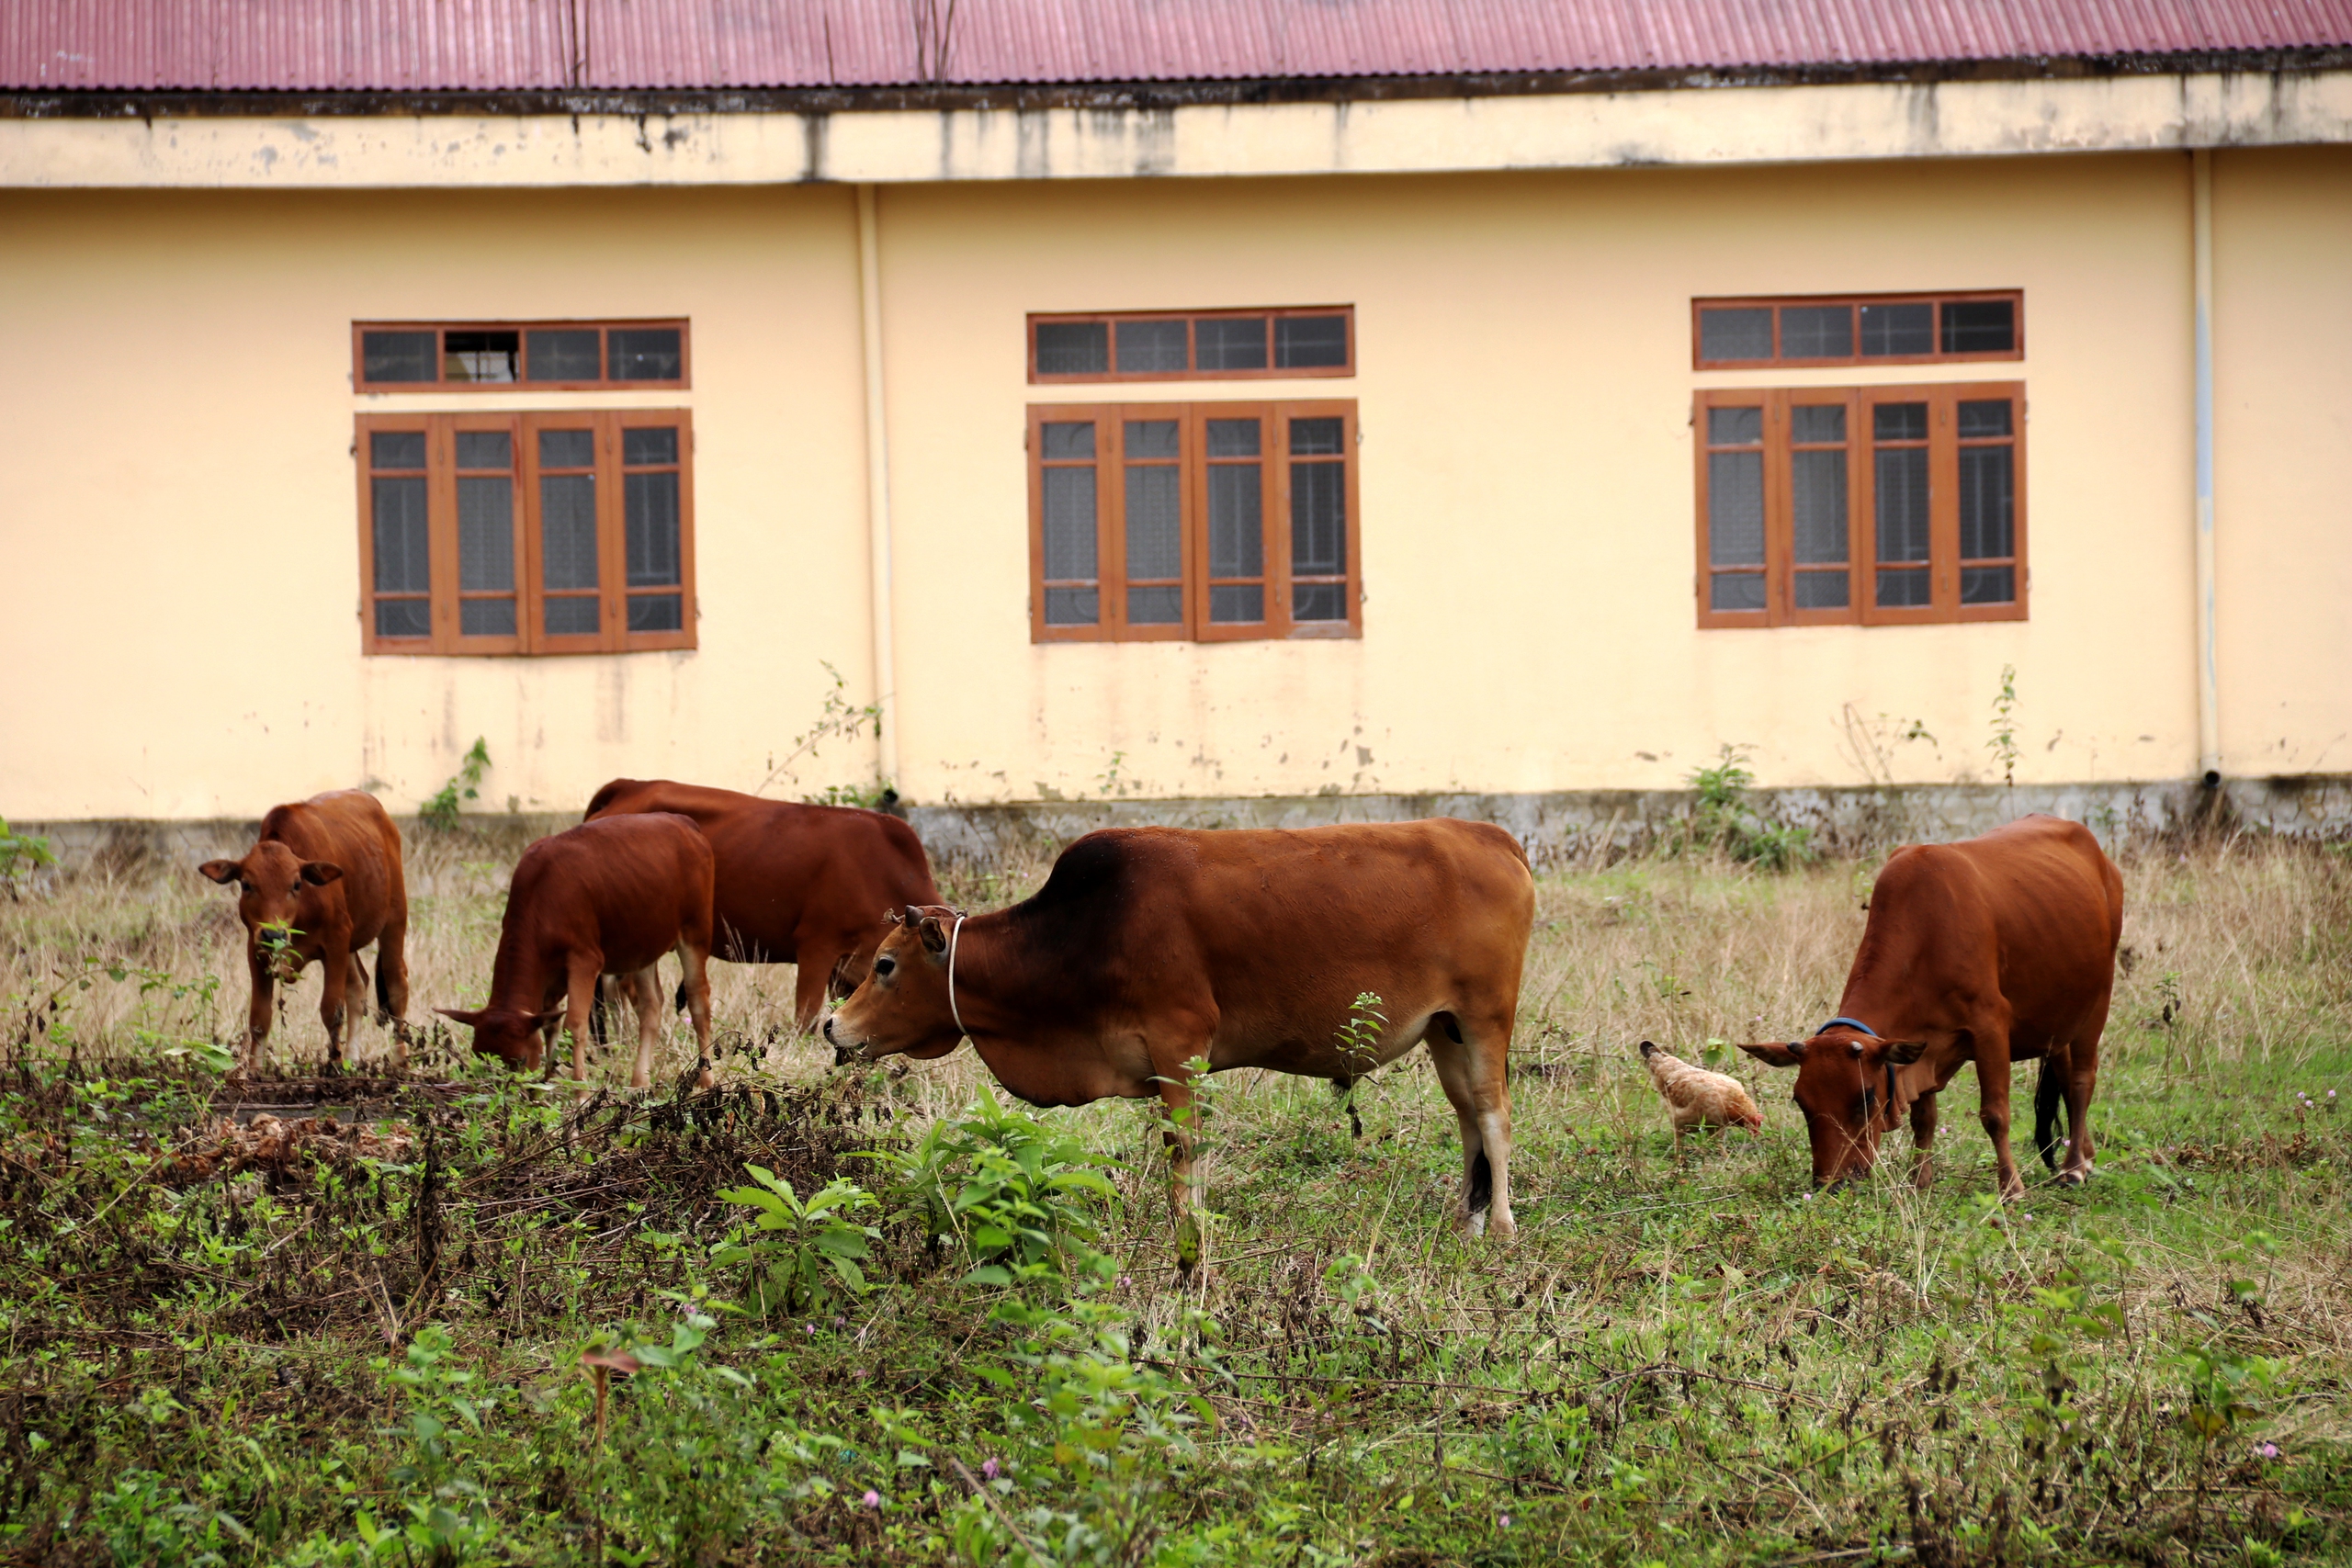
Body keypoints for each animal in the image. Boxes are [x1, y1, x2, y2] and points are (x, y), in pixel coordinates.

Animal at [199, 789, 412, 1072]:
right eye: (246, 884)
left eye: (297, 884)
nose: (274, 935)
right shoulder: (256, 948)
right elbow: (259, 1017)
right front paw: (254, 1071)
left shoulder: (336, 940)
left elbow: (331, 1010)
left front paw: (333, 1066)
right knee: (359, 985)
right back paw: (353, 1058)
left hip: (394, 920)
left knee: (395, 982)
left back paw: (400, 1062)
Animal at [439, 808, 715, 1090]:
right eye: (478, 1056)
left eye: (521, 1058)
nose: (502, 1091)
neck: (541, 894)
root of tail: (683, 822)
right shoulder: (548, 973)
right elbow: (550, 1024)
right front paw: (546, 1083)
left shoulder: (585, 960)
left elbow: (574, 1026)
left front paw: (579, 1091)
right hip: (643, 945)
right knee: (651, 1006)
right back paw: (639, 1082)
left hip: (695, 931)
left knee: (698, 1000)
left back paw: (706, 1080)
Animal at [828, 822, 1543, 1259]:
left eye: (885, 965)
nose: (832, 1025)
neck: (1080, 935)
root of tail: (1491, 835)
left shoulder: (1179, 1048)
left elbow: (1184, 1160)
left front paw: (1190, 1247)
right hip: (1446, 1029)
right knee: (1468, 1118)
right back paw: (1467, 1221)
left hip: (1485, 1017)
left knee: (1495, 1115)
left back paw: (1503, 1228)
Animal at [1731, 818, 2135, 1194]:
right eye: (1801, 1101)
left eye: (1865, 1097)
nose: (1831, 1183)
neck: (1926, 933)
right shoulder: (1920, 1044)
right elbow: (1923, 1118)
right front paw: (1920, 1180)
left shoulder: (1990, 1027)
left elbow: (1995, 1114)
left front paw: (2011, 1188)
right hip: (2062, 1018)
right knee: (2065, 1076)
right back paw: (2087, 1155)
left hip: (2098, 1000)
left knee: (2082, 1080)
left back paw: (2074, 1168)